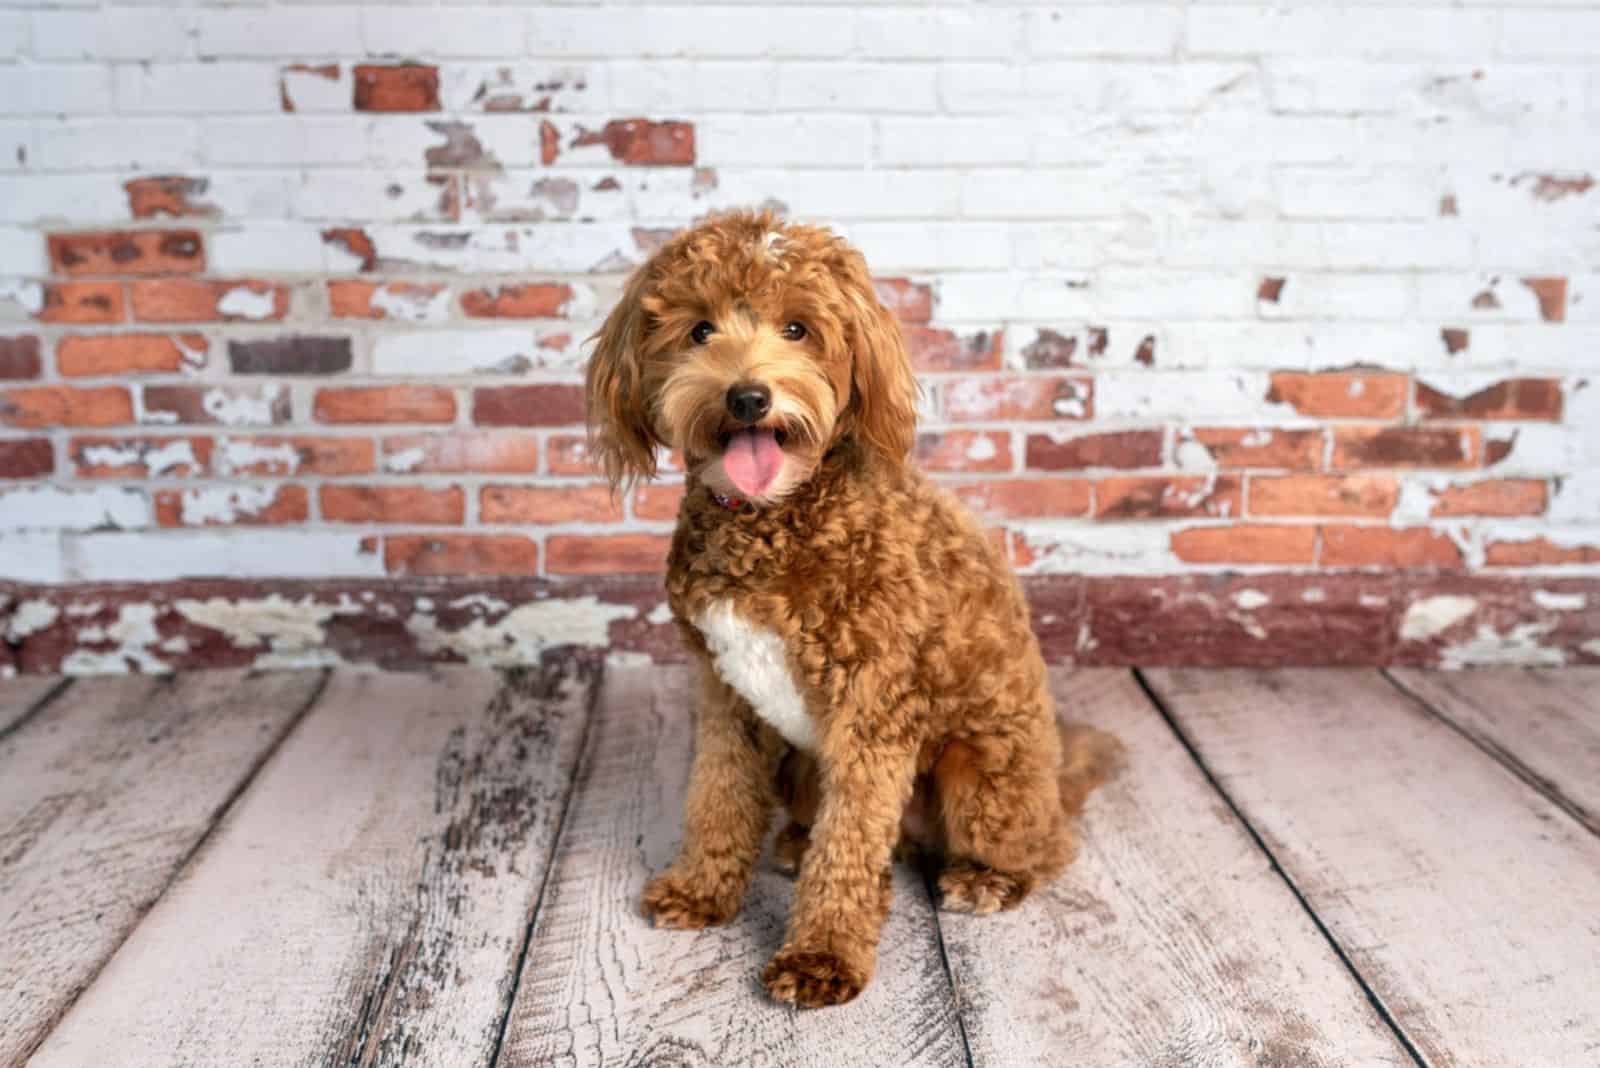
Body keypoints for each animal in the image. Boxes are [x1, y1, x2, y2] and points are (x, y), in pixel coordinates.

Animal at [582, 207, 1120, 1010]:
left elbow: (851, 843)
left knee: (1043, 847)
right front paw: (702, 889)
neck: (774, 520)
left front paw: (821, 955)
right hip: (801, 761)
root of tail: (1056, 781)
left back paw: (987, 879)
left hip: (980, 776)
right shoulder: (725, 692)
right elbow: (717, 794)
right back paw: (794, 843)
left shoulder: (873, 710)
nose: (748, 398)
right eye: (700, 329)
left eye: (798, 329)